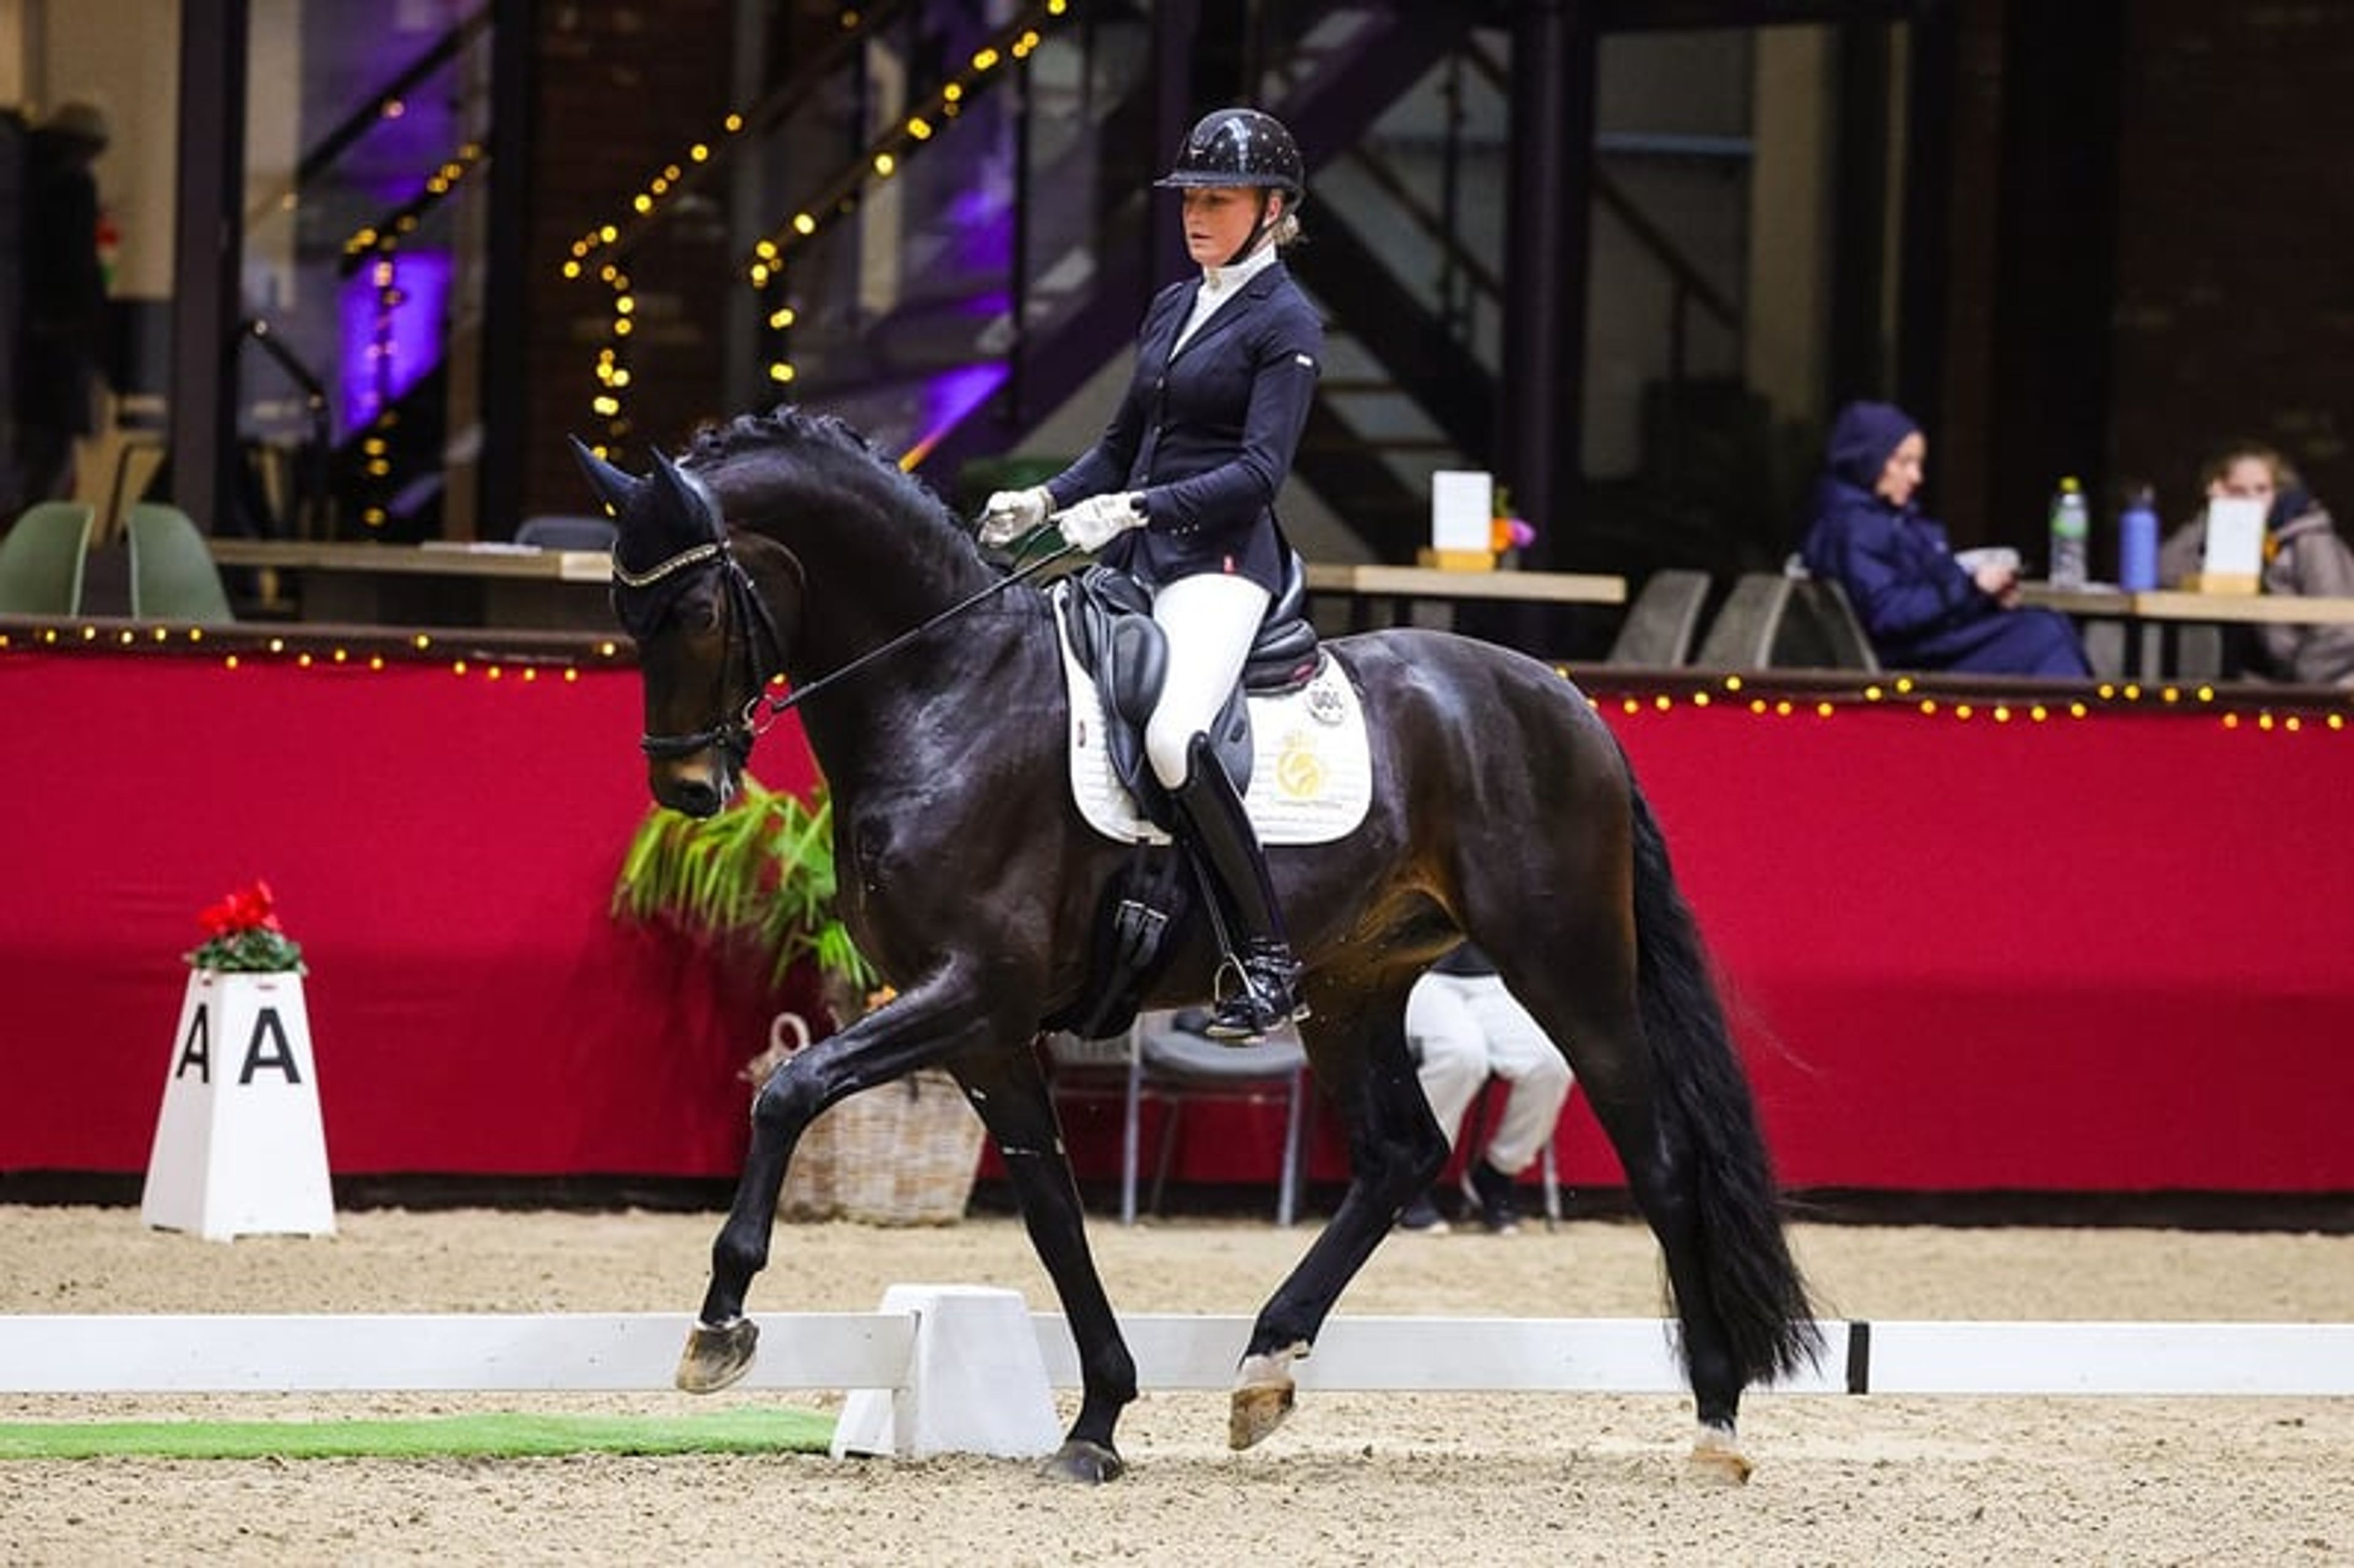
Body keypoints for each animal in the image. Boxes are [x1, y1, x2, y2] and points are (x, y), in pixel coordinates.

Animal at [574, 406, 1820, 1484]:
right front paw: (1097, 1420)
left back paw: (1716, 1422)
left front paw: (720, 1323)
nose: (687, 788)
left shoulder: (972, 990)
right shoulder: (983, 1030)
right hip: (1355, 982)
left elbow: (791, 1089)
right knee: (1402, 1153)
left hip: (1566, 961)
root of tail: (1566, 700)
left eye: (695, 612)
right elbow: (1053, 1212)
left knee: (1661, 1157)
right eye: (626, 619)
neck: (948, 694)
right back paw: (1266, 1366)